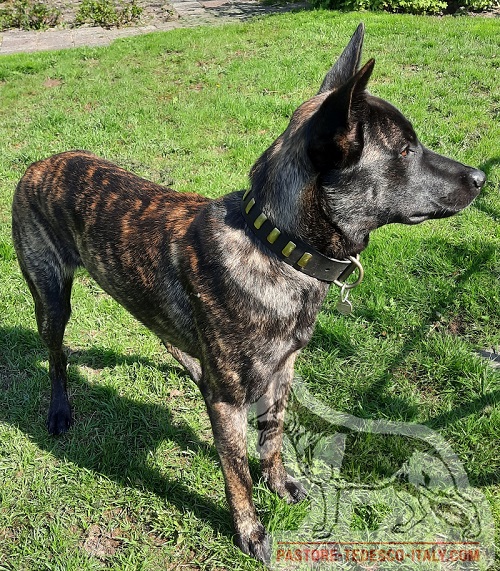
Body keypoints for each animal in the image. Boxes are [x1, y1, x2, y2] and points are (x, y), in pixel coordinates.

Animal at [12, 23, 484, 564]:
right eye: (404, 151)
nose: (480, 178)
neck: (275, 246)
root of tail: (39, 163)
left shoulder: (281, 373)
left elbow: (272, 438)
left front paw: (279, 484)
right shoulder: (228, 403)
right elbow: (236, 472)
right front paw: (250, 531)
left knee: (170, 338)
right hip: (51, 299)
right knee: (58, 355)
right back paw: (59, 410)